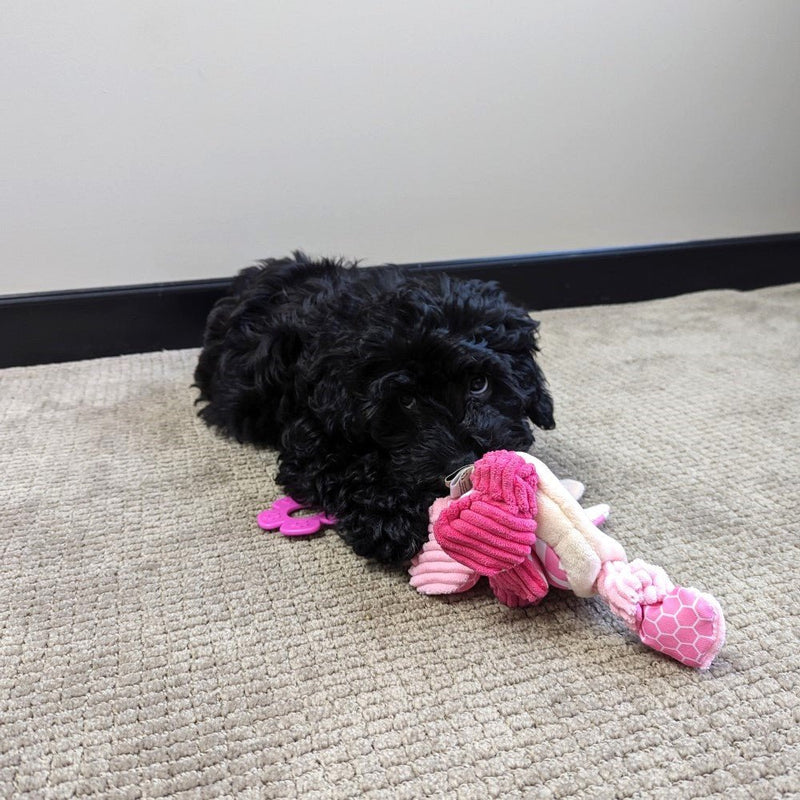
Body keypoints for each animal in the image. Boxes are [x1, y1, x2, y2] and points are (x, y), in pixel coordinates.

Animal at [197, 253, 552, 560]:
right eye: (406, 400)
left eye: (479, 383)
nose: (463, 464)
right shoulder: (312, 439)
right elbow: (343, 469)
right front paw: (390, 522)